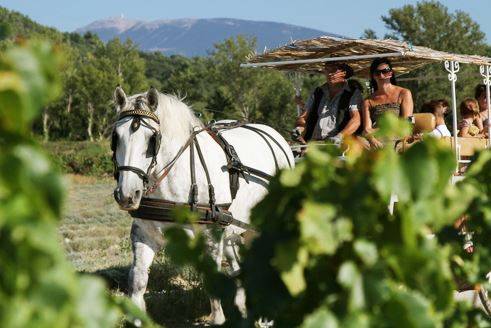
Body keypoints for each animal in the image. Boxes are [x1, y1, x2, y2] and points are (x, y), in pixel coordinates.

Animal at [111, 86, 294, 324]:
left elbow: (213, 282)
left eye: (152, 139)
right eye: (116, 137)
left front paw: (219, 319)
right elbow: (137, 281)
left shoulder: (211, 235)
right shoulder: (144, 233)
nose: (126, 195)